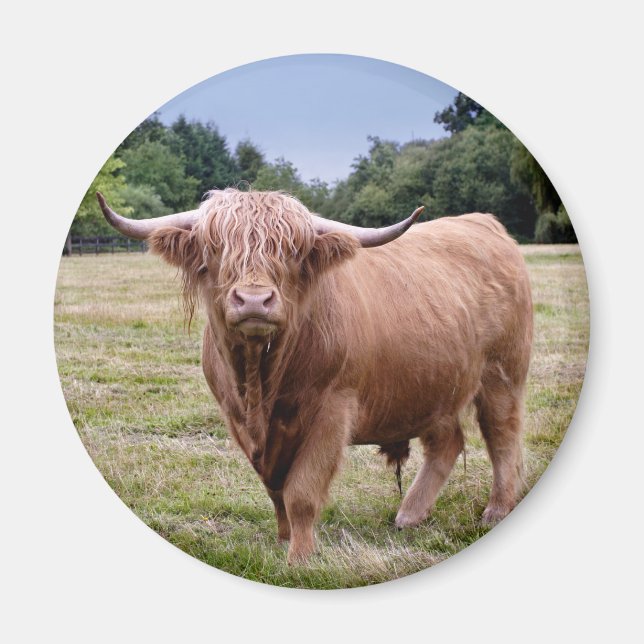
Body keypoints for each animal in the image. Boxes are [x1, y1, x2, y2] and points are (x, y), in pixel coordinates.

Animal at [97, 188, 533, 563]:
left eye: (292, 251)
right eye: (215, 248)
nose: (254, 300)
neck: (261, 385)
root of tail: (484, 223)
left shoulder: (332, 411)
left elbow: (301, 491)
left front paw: (301, 556)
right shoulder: (237, 419)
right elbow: (275, 489)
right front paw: (283, 538)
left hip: (502, 374)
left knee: (502, 436)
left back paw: (495, 509)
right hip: (433, 384)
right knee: (447, 442)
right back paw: (409, 515)